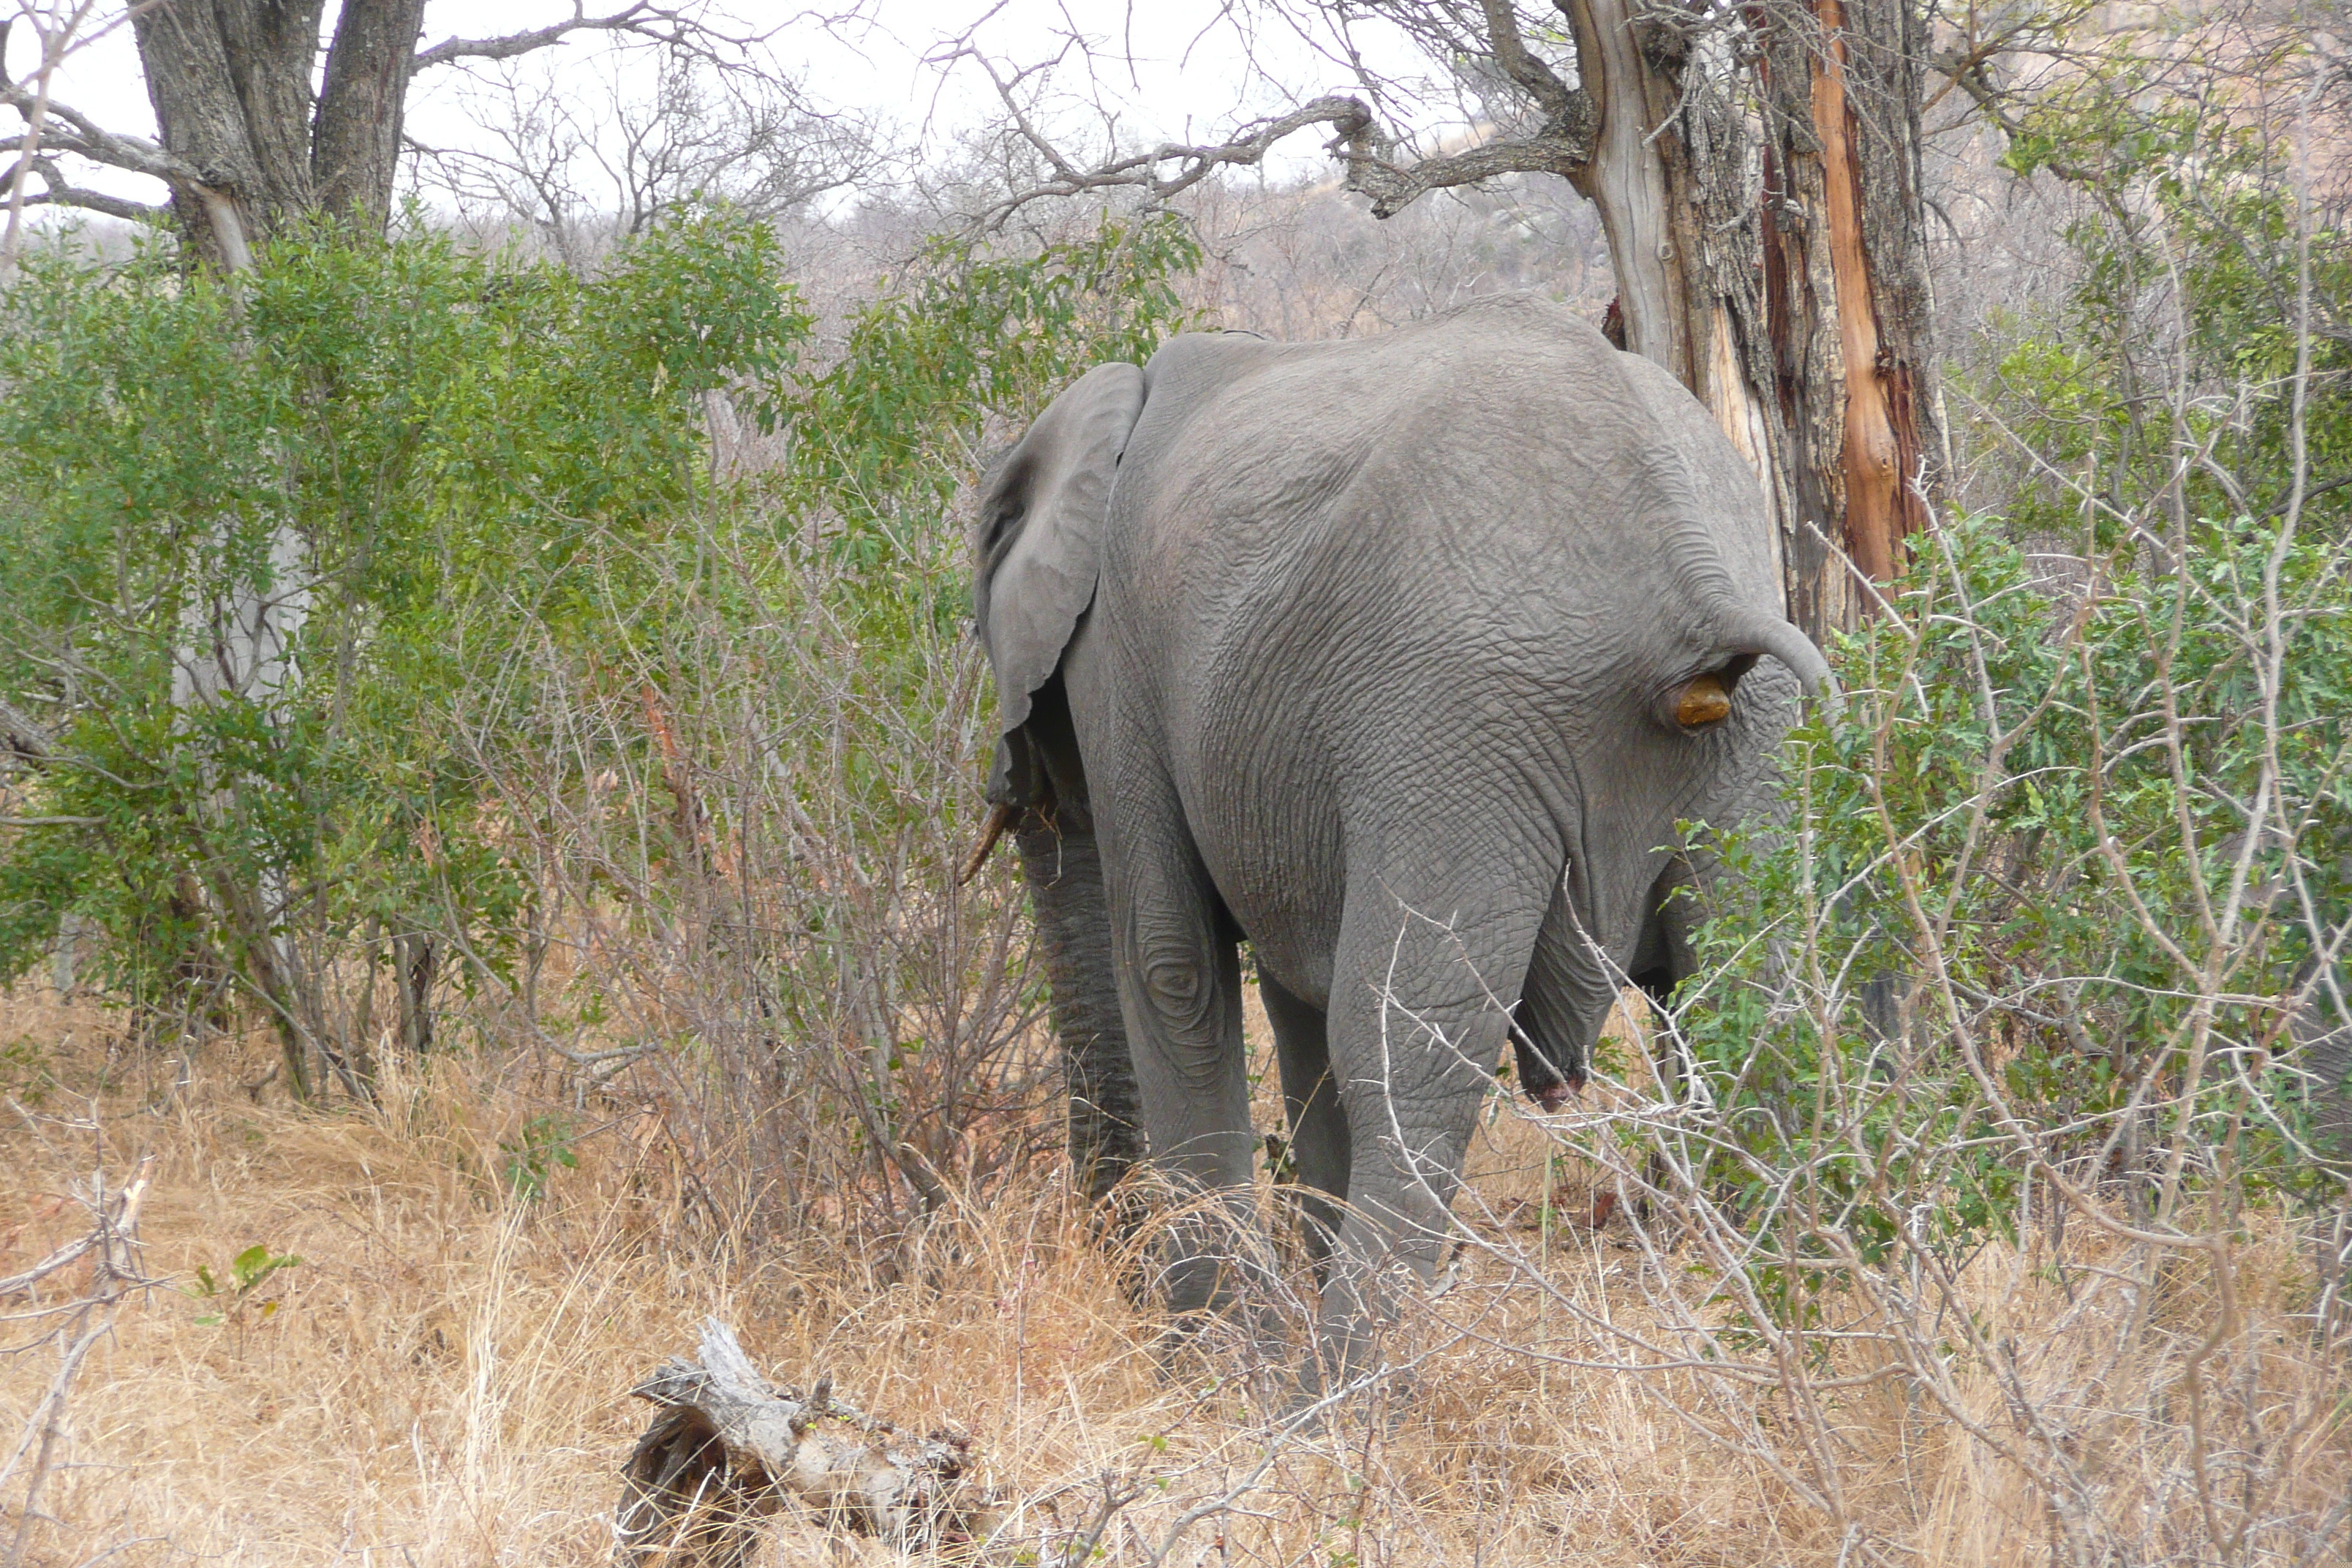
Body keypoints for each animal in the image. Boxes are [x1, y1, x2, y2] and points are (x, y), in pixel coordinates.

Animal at [964, 287, 1825, 1382]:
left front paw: (1205, 1381)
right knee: (1761, 1015)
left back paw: (1326, 1407)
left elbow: (1172, 966)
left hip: (1457, 722)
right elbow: (1291, 998)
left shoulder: (1117, 654)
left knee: (1407, 1057)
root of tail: (1694, 582)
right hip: (1748, 736)